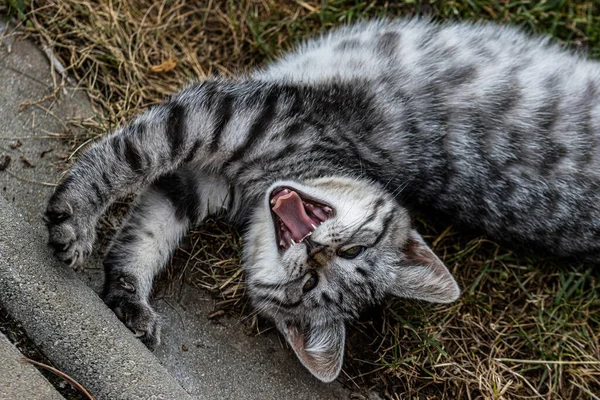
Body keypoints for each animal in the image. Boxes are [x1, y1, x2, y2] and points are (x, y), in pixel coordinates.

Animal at [45, 18, 600, 382]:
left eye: (309, 284)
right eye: (353, 251)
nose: (317, 250)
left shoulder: (199, 171)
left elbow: (144, 230)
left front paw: (125, 294)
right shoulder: (221, 119)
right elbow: (132, 156)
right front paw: (81, 215)